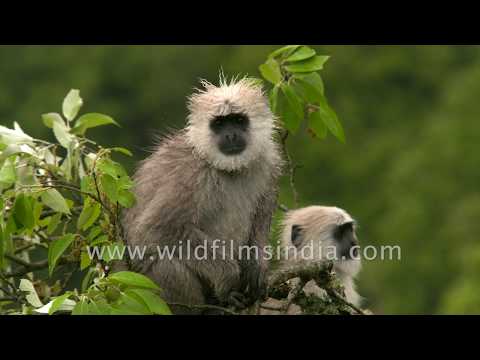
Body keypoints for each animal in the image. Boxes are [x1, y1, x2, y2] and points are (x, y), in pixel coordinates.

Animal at [122, 76, 284, 312]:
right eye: (219, 124)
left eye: (238, 120)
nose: (231, 134)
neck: (228, 170)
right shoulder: (191, 174)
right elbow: (154, 230)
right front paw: (229, 279)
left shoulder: (269, 162)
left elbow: (260, 219)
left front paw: (258, 267)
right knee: (166, 262)